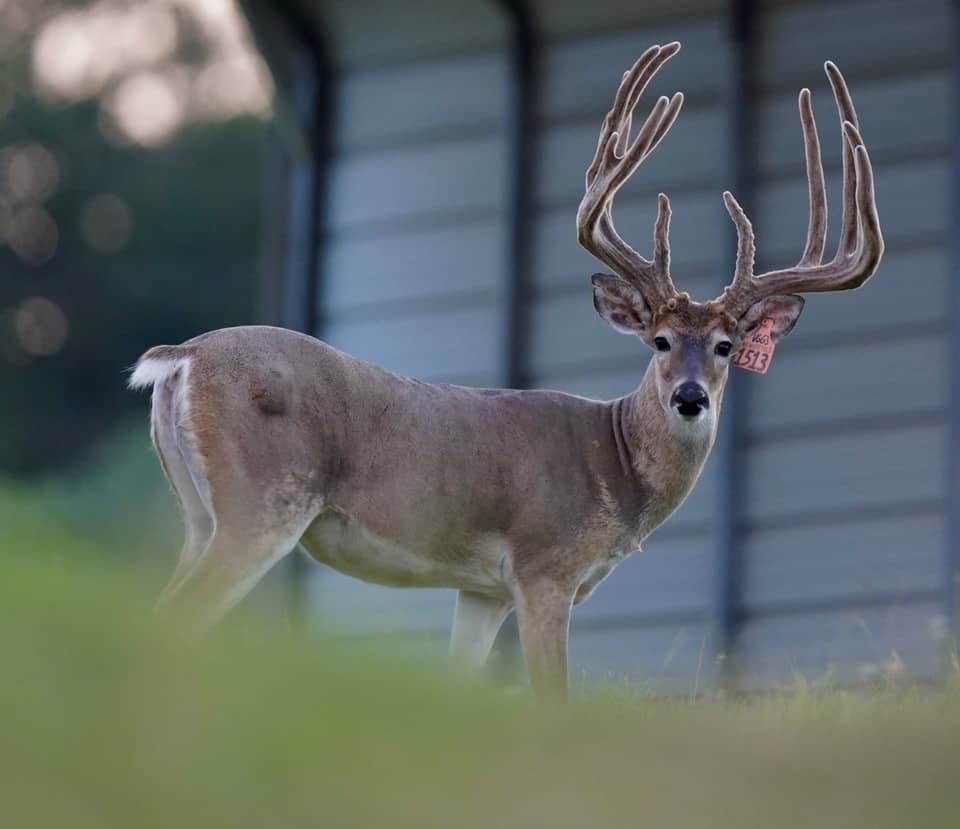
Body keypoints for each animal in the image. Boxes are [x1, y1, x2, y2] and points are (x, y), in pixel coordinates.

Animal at [128, 43, 882, 700]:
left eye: (725, 346)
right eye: (661, 341)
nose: (692, 397)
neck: (616, 463)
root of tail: (183, 357)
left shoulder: (482, 589)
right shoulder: (545, 567)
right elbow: (554, 700)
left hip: (198, 513)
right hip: (261, 501)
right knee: (170, 622)